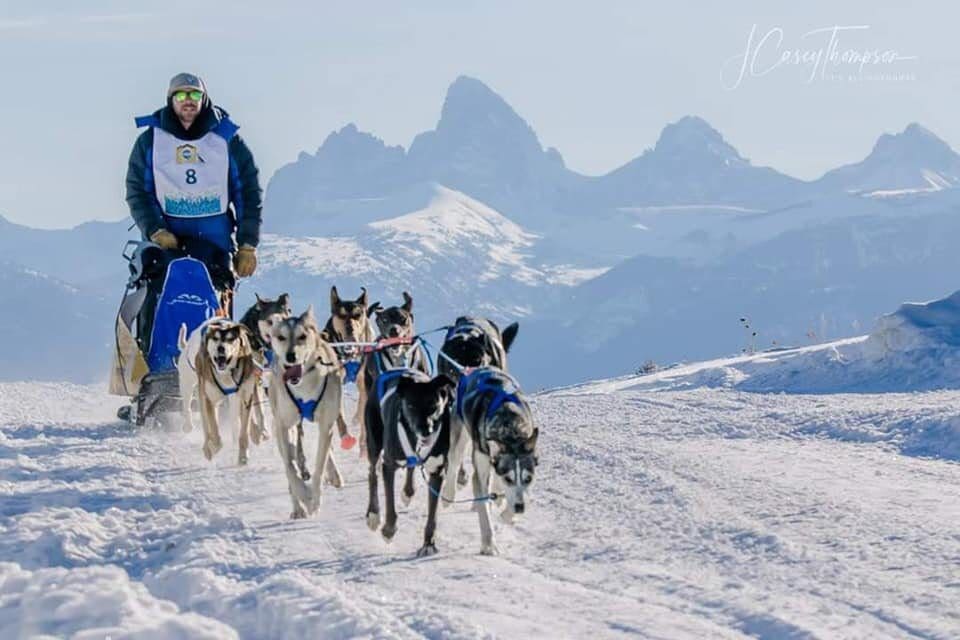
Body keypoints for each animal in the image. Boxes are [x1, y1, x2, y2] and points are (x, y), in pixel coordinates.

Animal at [176, 320, 262, 464]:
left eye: (230, 339)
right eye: (215, 338)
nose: (221, 348)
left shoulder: (245, 396)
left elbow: (243, 431)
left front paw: (243, 455)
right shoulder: (209, 399)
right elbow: (214, 430)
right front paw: (214, 447)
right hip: (189, 385)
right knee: (192, 411)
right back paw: (195, 433)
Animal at [266, 306, 344, 520]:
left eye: (302, 336)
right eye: (281, 337)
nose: (290, 356)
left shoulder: (326, 425)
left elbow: (320, 464)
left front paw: (314, 500)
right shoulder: (282, 426)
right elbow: (290, 469)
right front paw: (304, 497)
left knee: (326, 452)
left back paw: (333, 474)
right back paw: (298, 508)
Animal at [366, 368, 460, 556]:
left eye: (434, 405)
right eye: (410, 406)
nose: (426, 430)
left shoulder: (437, 471)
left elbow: (432, 515)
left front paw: (428, 544)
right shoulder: (388, 465)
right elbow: (390, 505)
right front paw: (388, 530)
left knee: (410, 466)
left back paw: (408, 491)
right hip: (374, 441)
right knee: (372, 473)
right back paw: (373, 514)